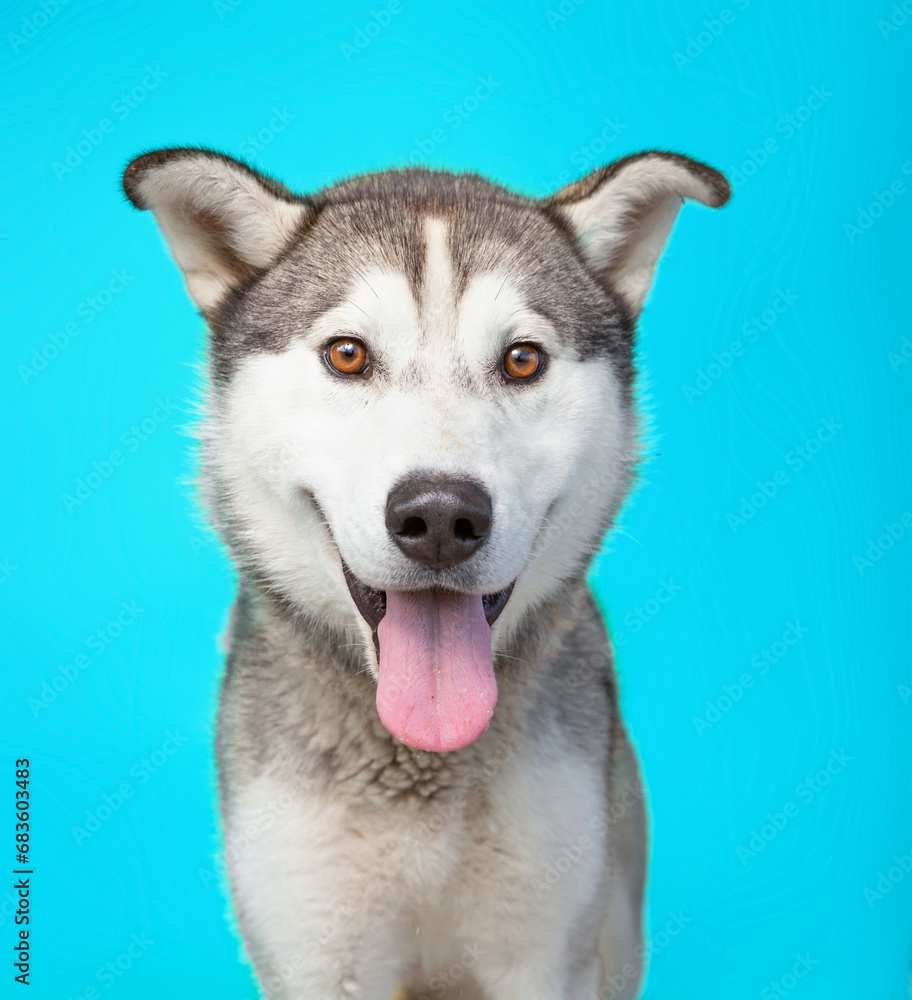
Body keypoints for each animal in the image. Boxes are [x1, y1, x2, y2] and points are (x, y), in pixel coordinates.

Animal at [124, 145, 732, 996]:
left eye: (522, 360)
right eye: (347, 354)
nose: (441, 517)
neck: (423, 763)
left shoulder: (545, 953)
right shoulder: (319, 954)